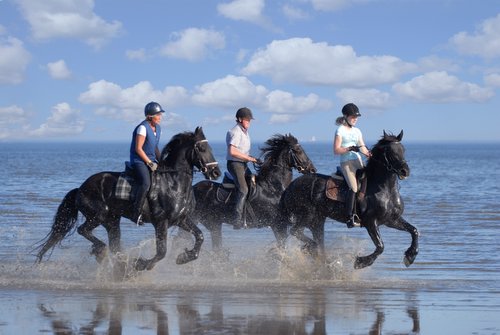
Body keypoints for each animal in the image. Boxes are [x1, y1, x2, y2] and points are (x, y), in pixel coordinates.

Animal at [35, 127, 221, 272]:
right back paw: (102, 251)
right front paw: (141, 264)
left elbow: (200, 236)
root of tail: (80, 188)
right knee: (84, 230)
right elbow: (161, 252)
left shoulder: (182, 219)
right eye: (202, 148)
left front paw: (185, 257)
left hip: (112, 221)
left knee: (114, 245)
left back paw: (118, 262)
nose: (216, 172)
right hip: (98, 215)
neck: (173, 183)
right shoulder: (161, 222)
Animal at [278, 131, 418, 270]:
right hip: (307, 215)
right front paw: (361, 262)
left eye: (403, 150)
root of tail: (291, 186)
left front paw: (410, 256)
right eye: (390, 151)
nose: (405, 171)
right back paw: (311, 249)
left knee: (316, 240)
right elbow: (380, 246)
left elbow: (414, 231)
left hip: (317, 220)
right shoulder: (371, 222)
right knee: (296, 231)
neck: (384, 190)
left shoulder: (391, 220)